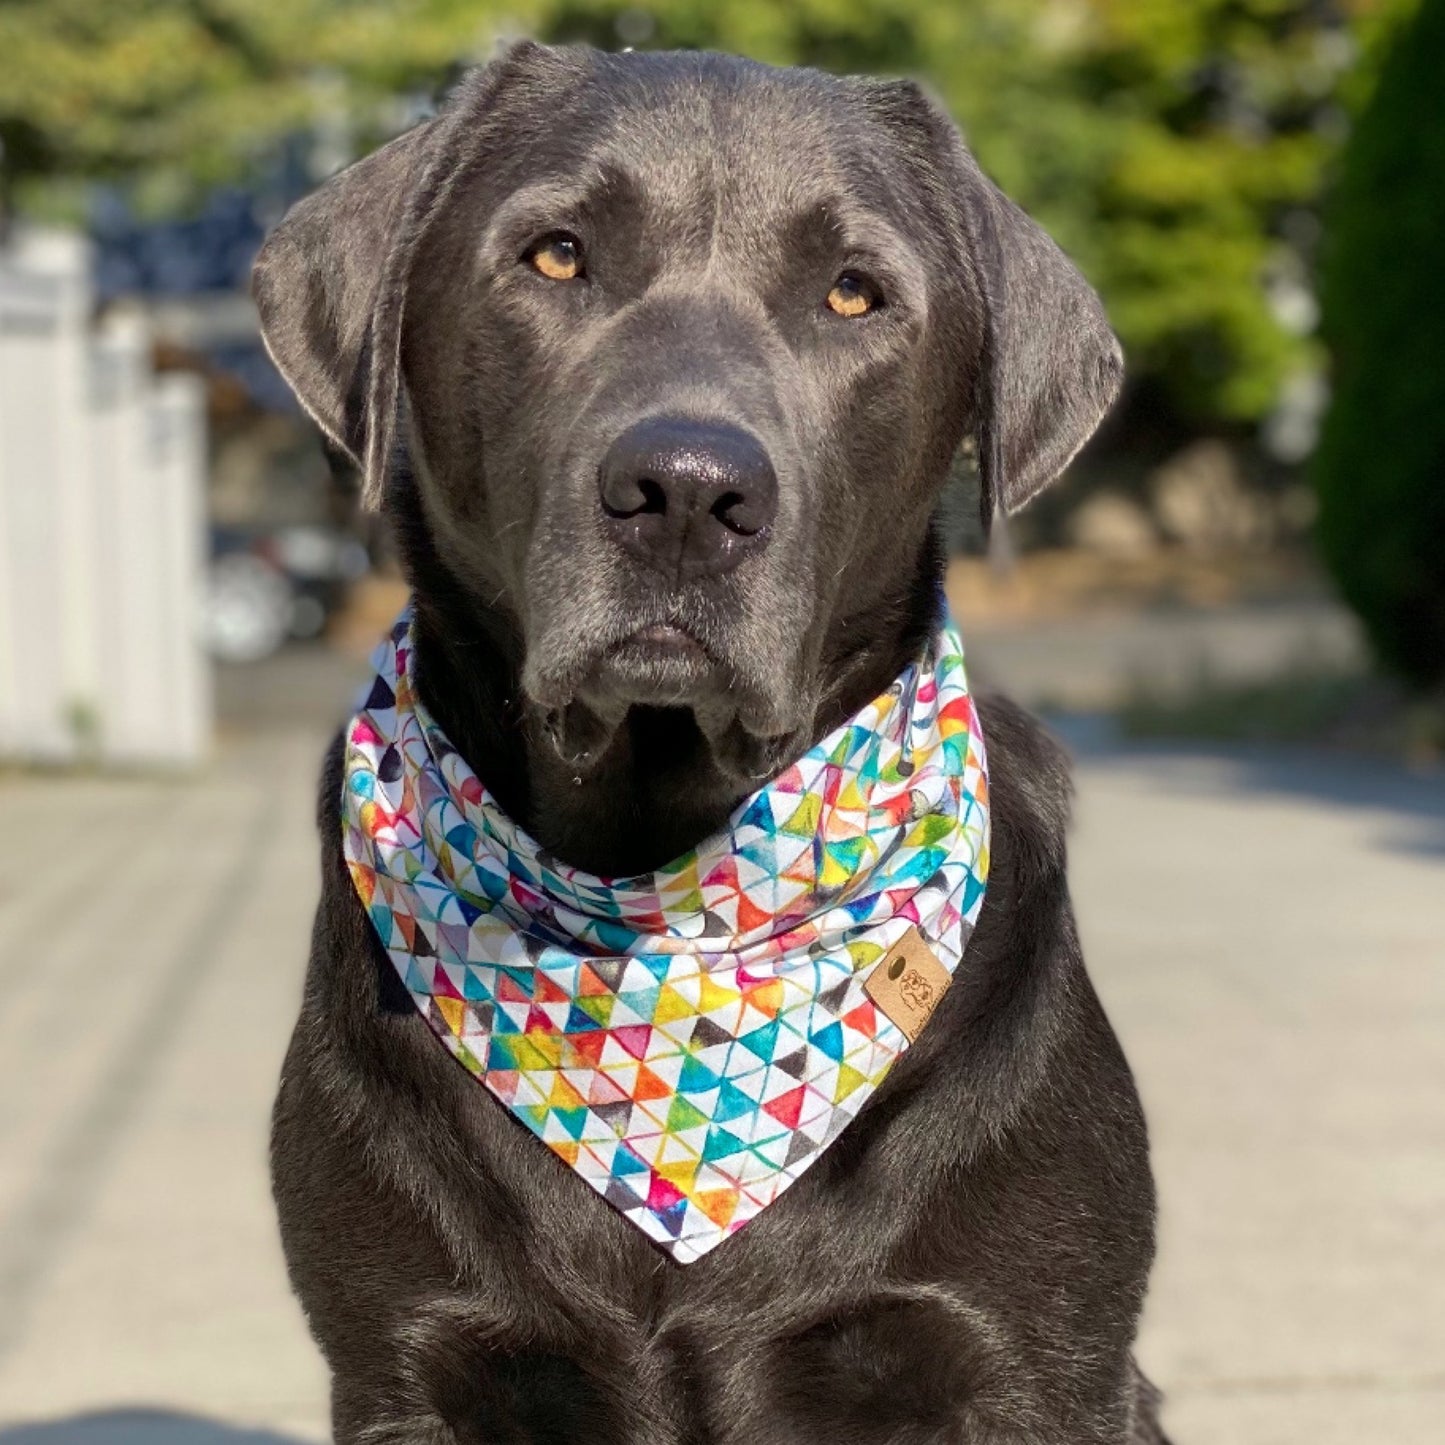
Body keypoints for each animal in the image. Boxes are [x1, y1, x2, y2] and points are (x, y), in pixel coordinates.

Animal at [254, 39, 1167, 1445]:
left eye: (852, 292)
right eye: (555, 255)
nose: (685, 491)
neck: (668, 895)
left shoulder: (1036, 1359)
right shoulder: (403, 1359)